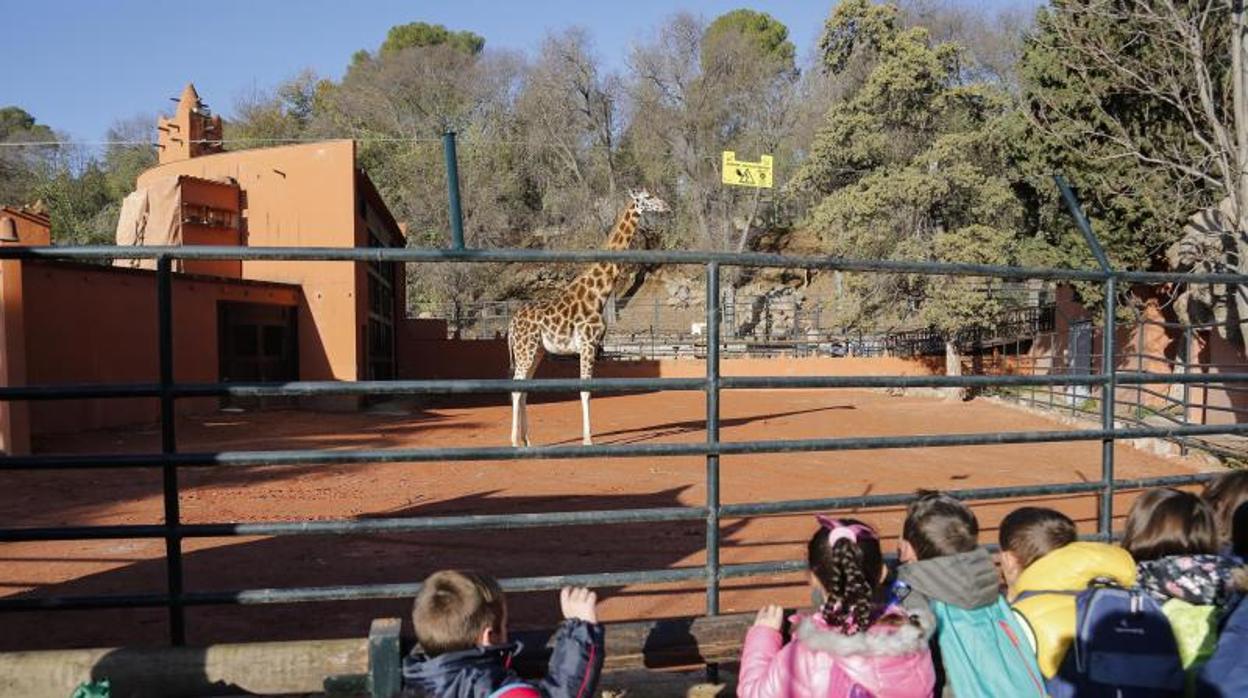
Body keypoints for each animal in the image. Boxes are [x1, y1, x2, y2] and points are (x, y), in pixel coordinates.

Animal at [504, 188, 668, 444]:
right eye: (648, 197)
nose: (667, 206)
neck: (597, 294)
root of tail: (511, 325)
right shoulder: (588, 344)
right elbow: (586, 390)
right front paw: (588, 440)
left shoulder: (591, 346)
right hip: (526, 348)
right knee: (516, 386)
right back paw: (514, 441)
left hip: (537, 350)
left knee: (524, 387)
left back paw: (528, 440)